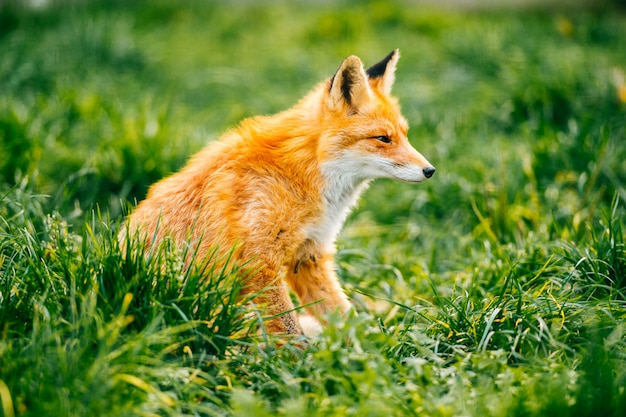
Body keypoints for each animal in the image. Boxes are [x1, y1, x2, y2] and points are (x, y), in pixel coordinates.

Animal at [122, 49, 434, 334]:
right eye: (383, 138)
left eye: (405, 135)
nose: (430, 170)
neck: (300, 174)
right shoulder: (259, 261)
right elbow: (290, 330)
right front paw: (298, 361)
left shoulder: (309, 255)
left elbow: (345, 317)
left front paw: (373, 352)